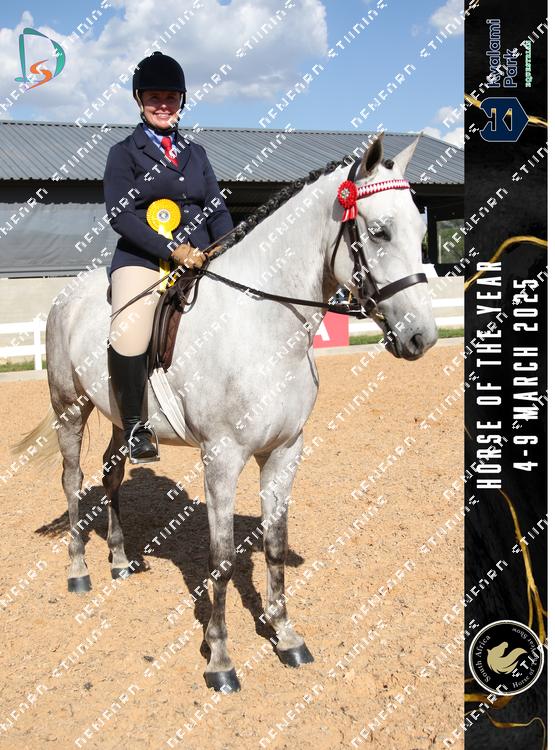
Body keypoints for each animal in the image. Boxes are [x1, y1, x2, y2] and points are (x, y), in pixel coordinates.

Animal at [14, 133, 437, 692]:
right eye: (379, 231)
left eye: (421, 230)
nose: (422, 337)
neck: (264, 324)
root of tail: (66, 296)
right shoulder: (221, 457)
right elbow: (220, 559)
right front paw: (219, 660)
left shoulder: (284, 451)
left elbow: (275, 546)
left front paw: (286, 635)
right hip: (69, 408)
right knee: (72, 479)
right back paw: (79, 571)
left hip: (121, 419)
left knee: (111, 471)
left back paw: (121, 561)